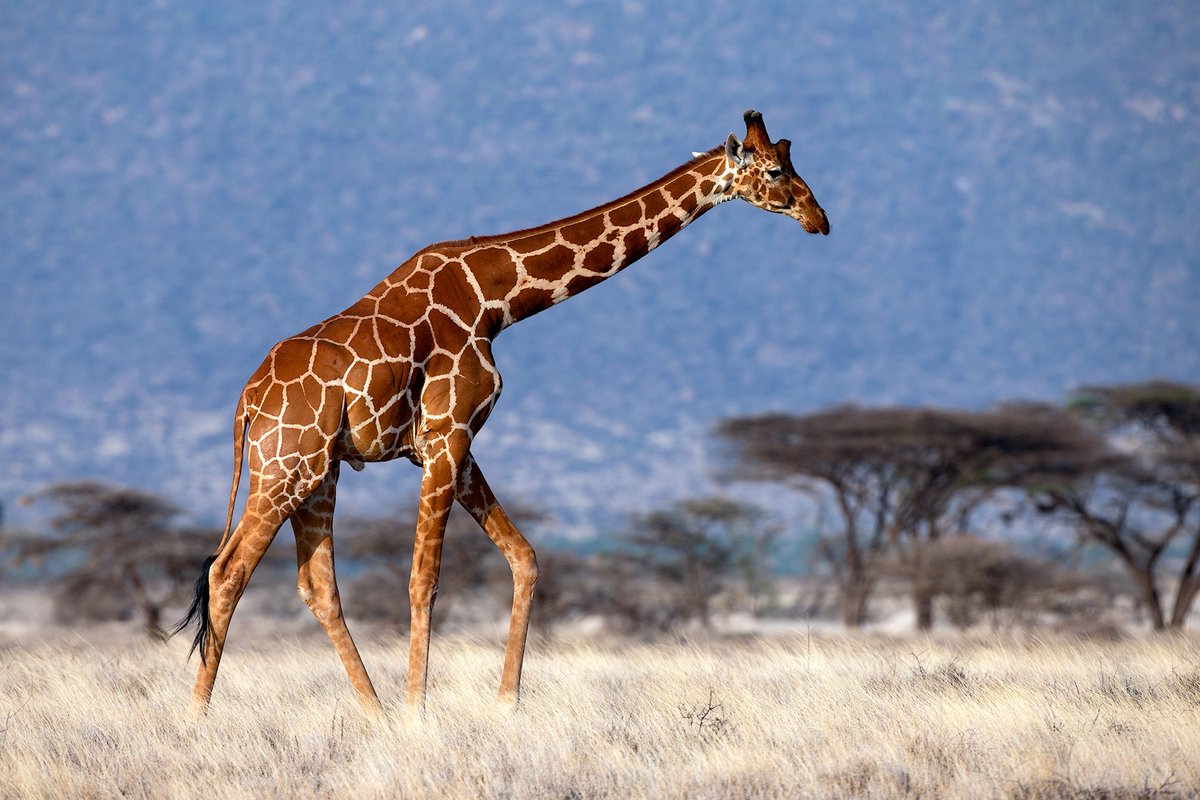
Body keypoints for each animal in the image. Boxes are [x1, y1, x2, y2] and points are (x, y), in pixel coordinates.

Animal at [175, 109, 829, 714]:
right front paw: (419, 715)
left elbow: (525, 558)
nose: (819, 220)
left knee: (317, 587)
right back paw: (201, 719)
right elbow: (424, 580)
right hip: (287, 466)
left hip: (320, 472)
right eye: (776, 171)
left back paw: (373, 716)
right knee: (227, 573)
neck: (496, 298)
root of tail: (247, 401)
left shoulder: (451, 447)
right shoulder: (447, 434)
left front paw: (505, 703)